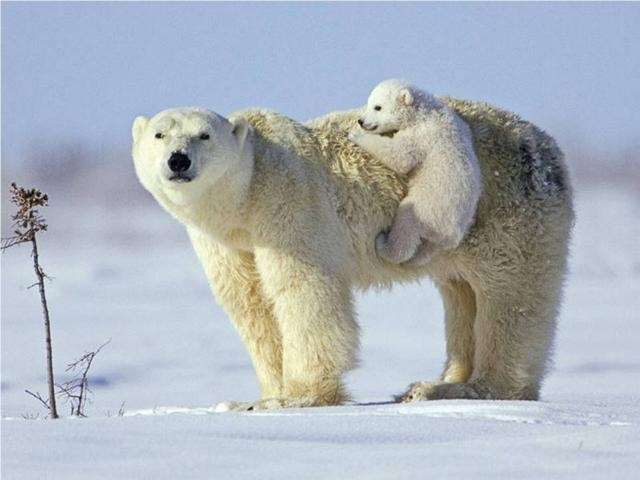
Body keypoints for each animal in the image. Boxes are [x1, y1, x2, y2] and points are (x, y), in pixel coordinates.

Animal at [132, 98, 572, 408]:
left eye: (204, 135)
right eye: (159, 135)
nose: (178, 160)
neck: (247, 195)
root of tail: (548, 146)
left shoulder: (289, 204)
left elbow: (303, 292)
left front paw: (298, 396)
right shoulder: (224, 241)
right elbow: (251, 304)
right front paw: (260, 395)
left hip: (506, 209)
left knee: (509, 297)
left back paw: (474, 387)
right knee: (461, 292)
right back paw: (435, 383)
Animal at [350, 79, 480, 266]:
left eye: (378, 107)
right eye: (369, 103)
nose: (361, 121)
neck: (423, 112)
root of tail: (452, 235)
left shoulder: (421, 135)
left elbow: (400, 156)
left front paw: (356, 135)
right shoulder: (459, 123)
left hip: (428, 209)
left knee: (406, 224)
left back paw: (384, 245)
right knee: (427, 249)